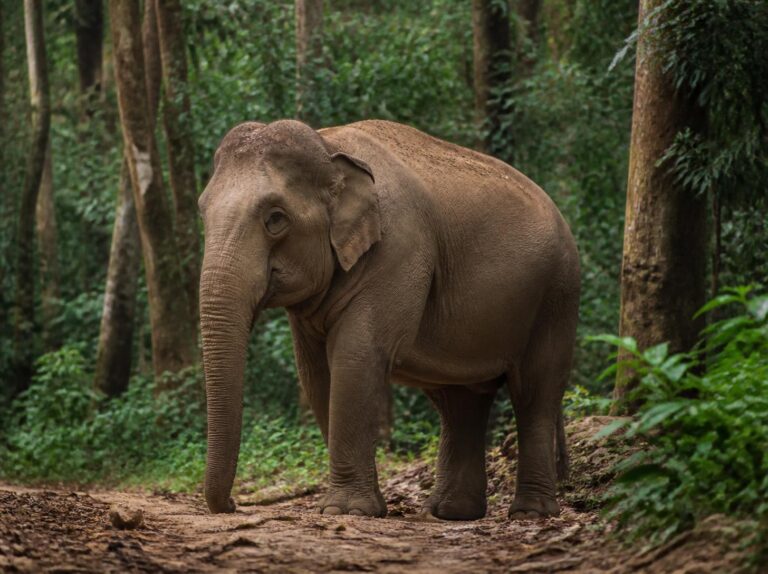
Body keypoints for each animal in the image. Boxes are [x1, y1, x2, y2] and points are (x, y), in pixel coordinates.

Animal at [199, 119, 580, 521]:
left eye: (275, 219)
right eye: (202, 212)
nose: (233, 504)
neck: (328, 144)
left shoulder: (399, 251)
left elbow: (355, 357)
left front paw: (346, 511)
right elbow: (316, 373)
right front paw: (365, 508)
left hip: (558, 295)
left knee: (535, 392)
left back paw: (531, 513)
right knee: (461, 401)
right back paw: (449, 512)